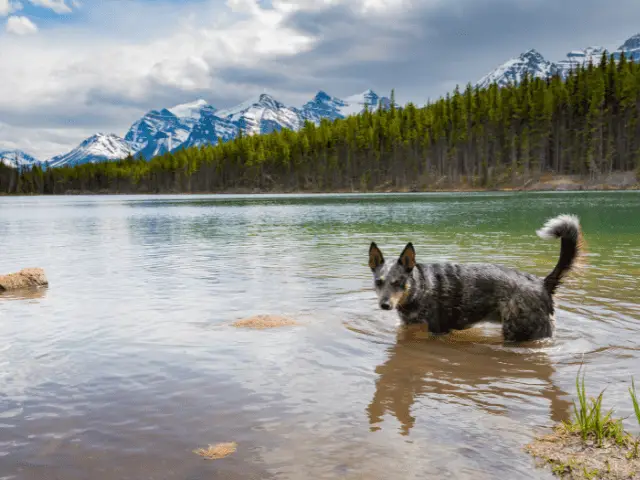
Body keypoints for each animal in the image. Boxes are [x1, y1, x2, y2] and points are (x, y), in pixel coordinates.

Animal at [368, 214, 584, 342]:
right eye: (379, 282)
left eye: (399, 282)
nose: (385, 305)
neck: (420, 288)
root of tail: (542, 283)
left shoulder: (437, 331)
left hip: (519, 332)